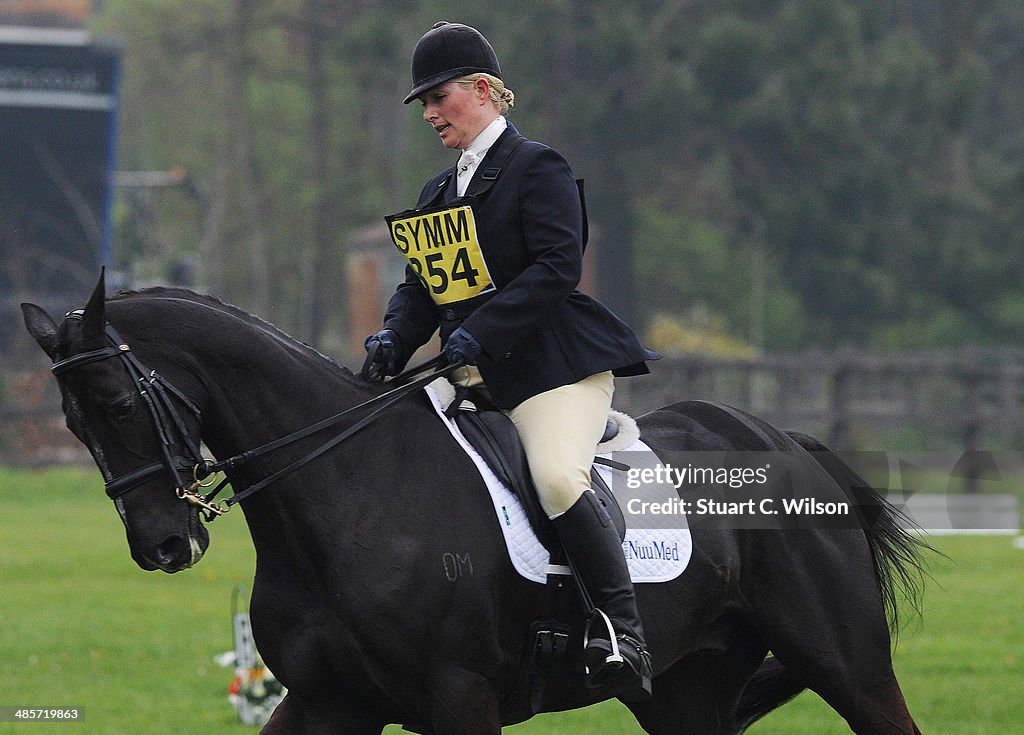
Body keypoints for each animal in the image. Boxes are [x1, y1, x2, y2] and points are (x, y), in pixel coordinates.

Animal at [19, 278, 929, 735]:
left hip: (848, 665)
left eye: (117, 401)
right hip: (682, 692)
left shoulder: (459, 701)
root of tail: (785, 437)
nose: (163, 546)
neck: (343, 492)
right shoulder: (328, 704)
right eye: (72, 422)